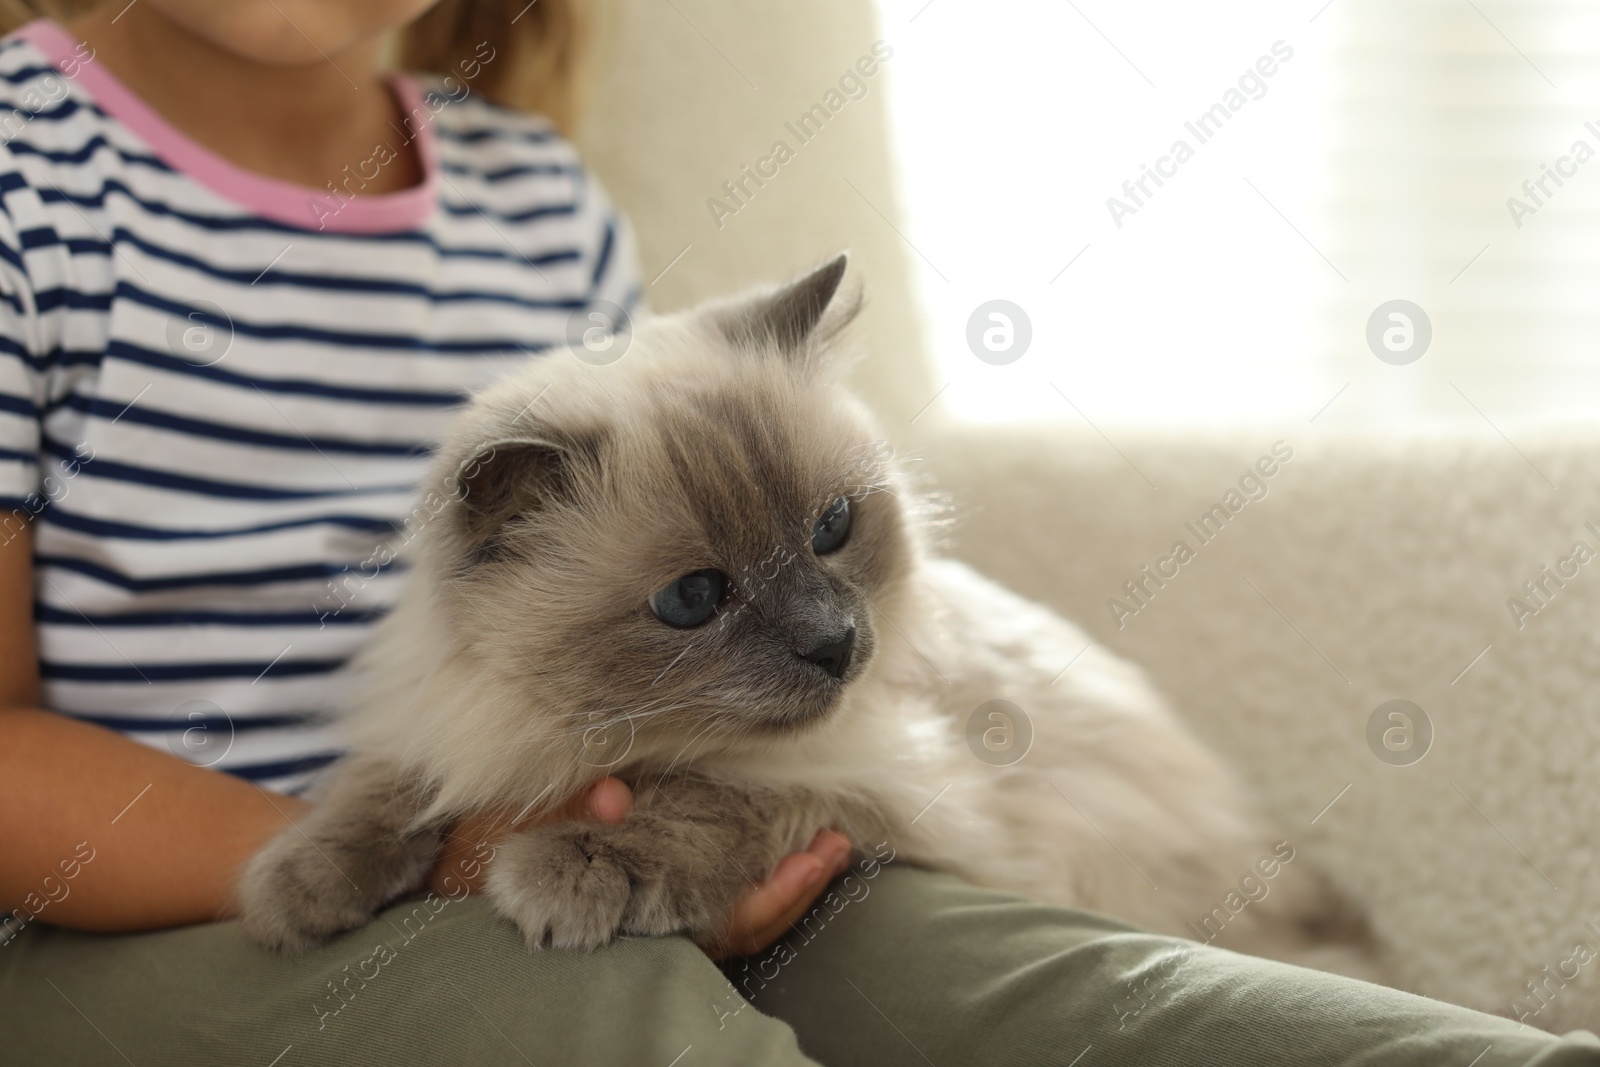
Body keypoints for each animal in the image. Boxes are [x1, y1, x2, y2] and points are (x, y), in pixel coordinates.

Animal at [233, 255, 1376, 979]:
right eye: (694, 598)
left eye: (831, 528)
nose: (837, 643)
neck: (584, 735)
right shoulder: (447, 724)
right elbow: (379, 788)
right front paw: (296, 891)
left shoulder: (871, 783)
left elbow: (711, 800)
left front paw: (567, 871)